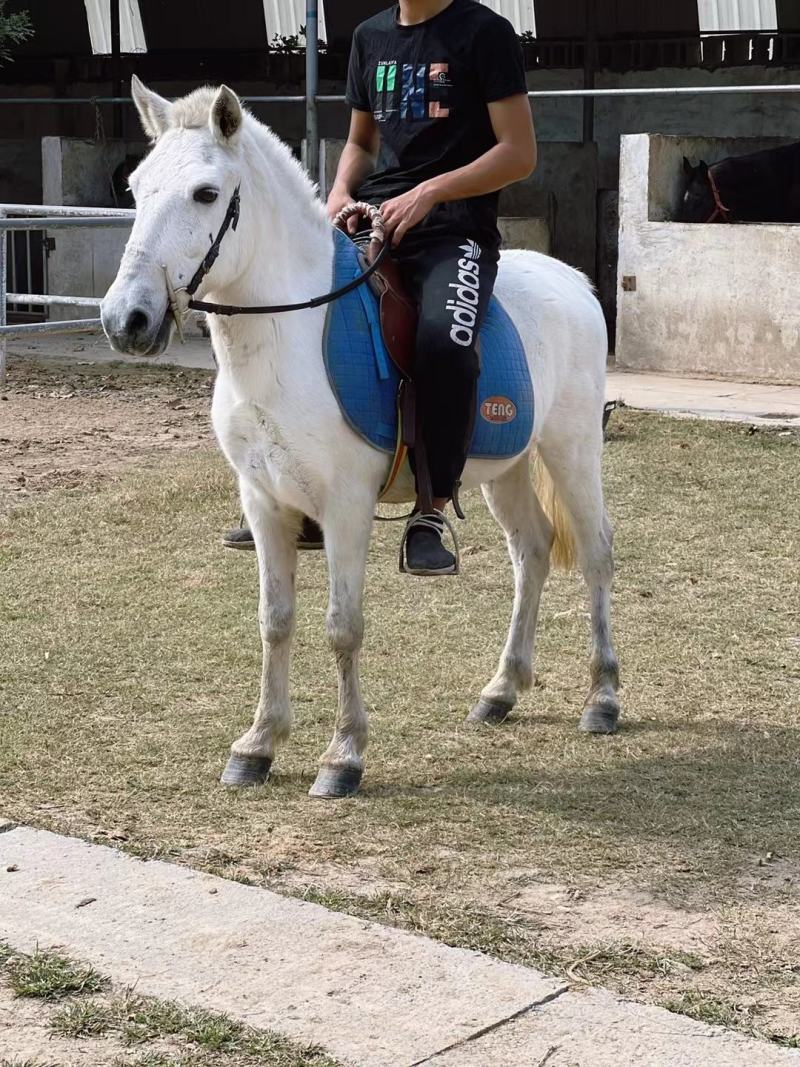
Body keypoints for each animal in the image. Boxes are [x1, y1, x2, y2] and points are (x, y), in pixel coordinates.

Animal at [100, 78, 621, 799]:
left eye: (205, 193)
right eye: (137, 188)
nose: (126, 319)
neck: (286, 337)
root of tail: (572, 281)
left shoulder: (346, 506)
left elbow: (342, 628)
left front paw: (342, 755)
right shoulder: (264, 503)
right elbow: (275, 621)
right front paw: (258, 744)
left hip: (571, 451)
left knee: (595, 553)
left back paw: (603, 698)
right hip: (507, 467)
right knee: (533, 553)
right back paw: (502, 689)